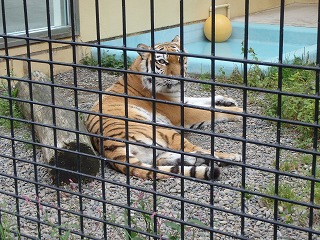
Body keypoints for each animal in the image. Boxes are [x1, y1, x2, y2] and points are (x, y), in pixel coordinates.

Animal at [85, 35, 242, 180]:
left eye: (180, 59)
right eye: (162, 61)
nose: (179, 77)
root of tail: (109, 146)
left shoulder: (181, 100)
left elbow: (204, 100)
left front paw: (228, 100)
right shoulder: (181, 111)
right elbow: (211, 111)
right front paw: (239, 111)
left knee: (163, 159)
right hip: (164, 130)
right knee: (192, 149)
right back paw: (229, 157)